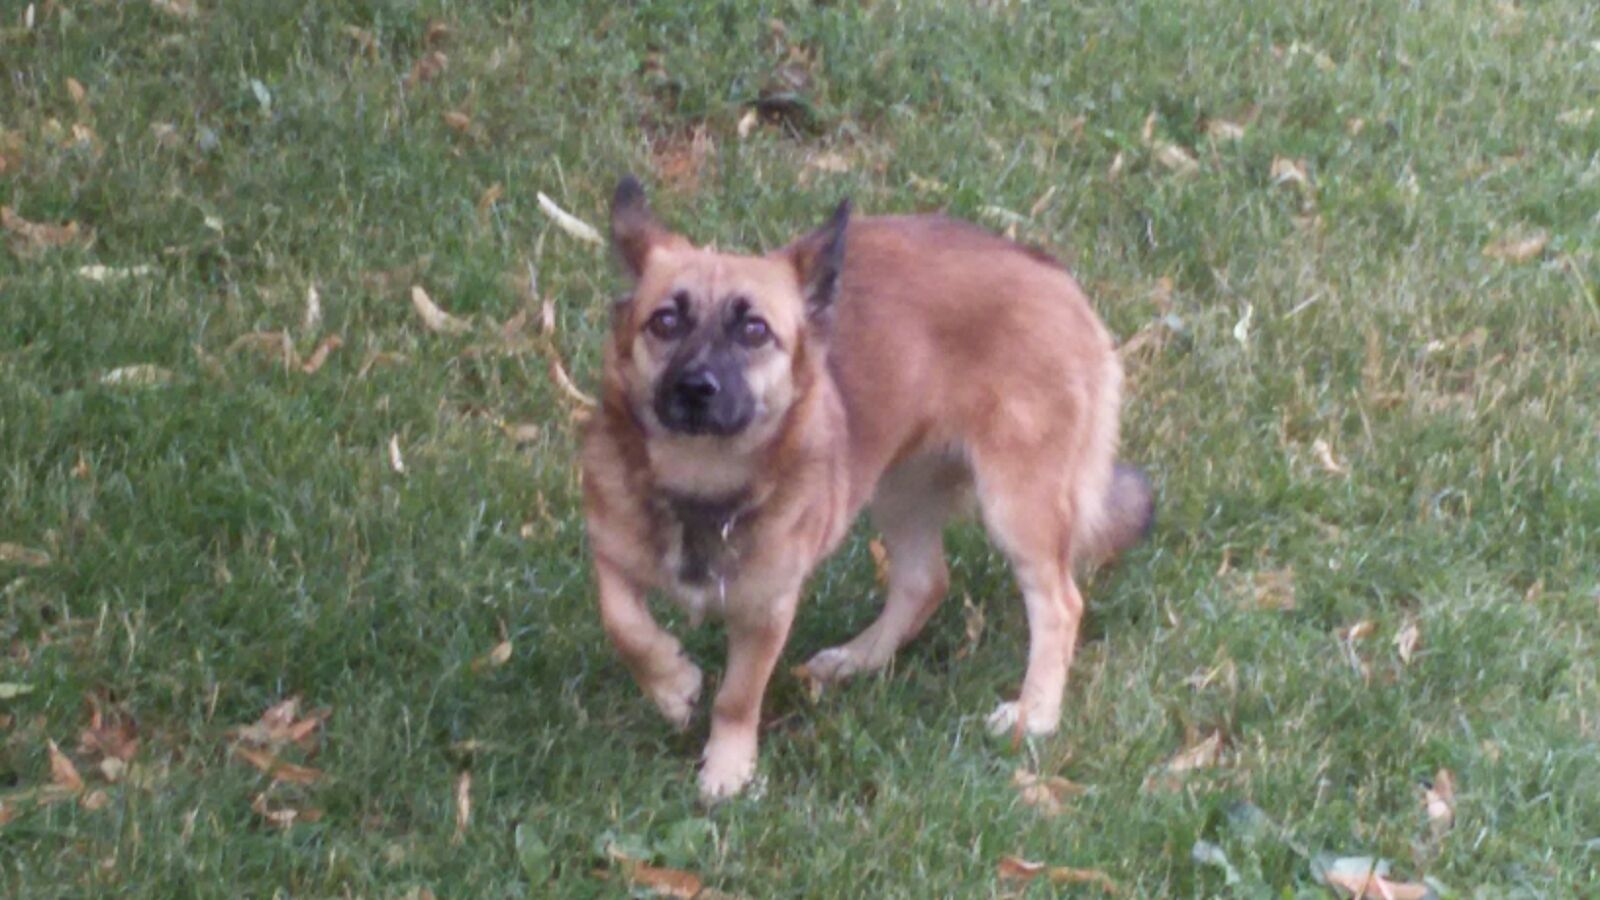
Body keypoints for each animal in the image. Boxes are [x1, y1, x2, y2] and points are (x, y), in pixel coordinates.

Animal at [580, 176, 1153, 801]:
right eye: (665, 321)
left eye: (755, 330)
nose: (695, 387)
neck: (702, 484)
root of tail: (1055, 276)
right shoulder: (610, 552)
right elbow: (624, 625)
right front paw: (671, 683)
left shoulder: (768, 607)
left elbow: (738, 696)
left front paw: (728, 768)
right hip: (901, 490)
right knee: (924, 582)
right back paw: (857, 659)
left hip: (1017, 505)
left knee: (1059, 605)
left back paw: (1035, 713)